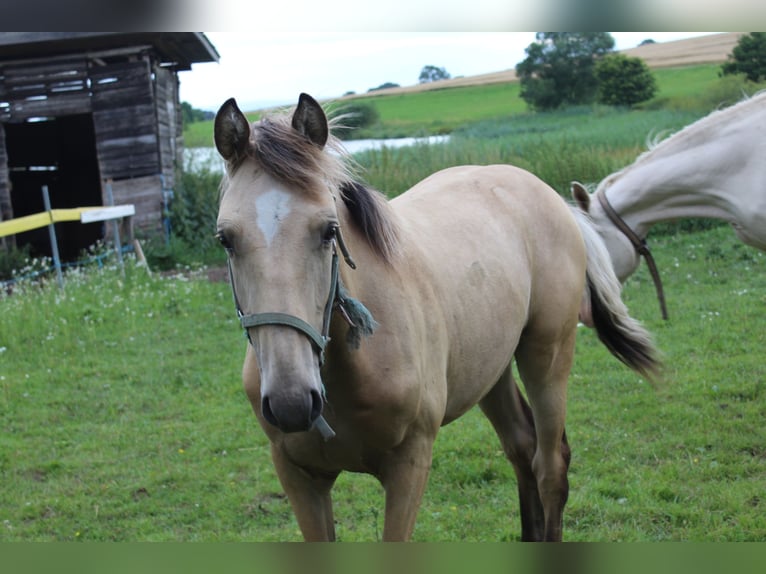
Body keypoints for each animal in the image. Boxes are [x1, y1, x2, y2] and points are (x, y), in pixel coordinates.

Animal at [214, 92, 660, 544]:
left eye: (329, 231)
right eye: (225, 239)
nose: (291, 401)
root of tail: (548, 194)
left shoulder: (409, 464)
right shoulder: (300, 476)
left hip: (547, 357)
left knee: (550, 466)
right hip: (490, 368)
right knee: (522, 447)